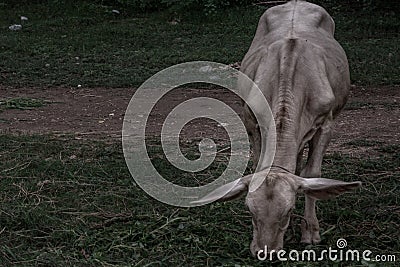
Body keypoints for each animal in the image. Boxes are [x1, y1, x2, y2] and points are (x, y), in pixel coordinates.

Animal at [197, 0, 362, 255]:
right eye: (250, 211)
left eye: (288, 211)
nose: (266, 251)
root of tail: (297, 2)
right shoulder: (251, 119)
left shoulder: (326, 122)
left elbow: (312, 174)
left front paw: (310, 231)